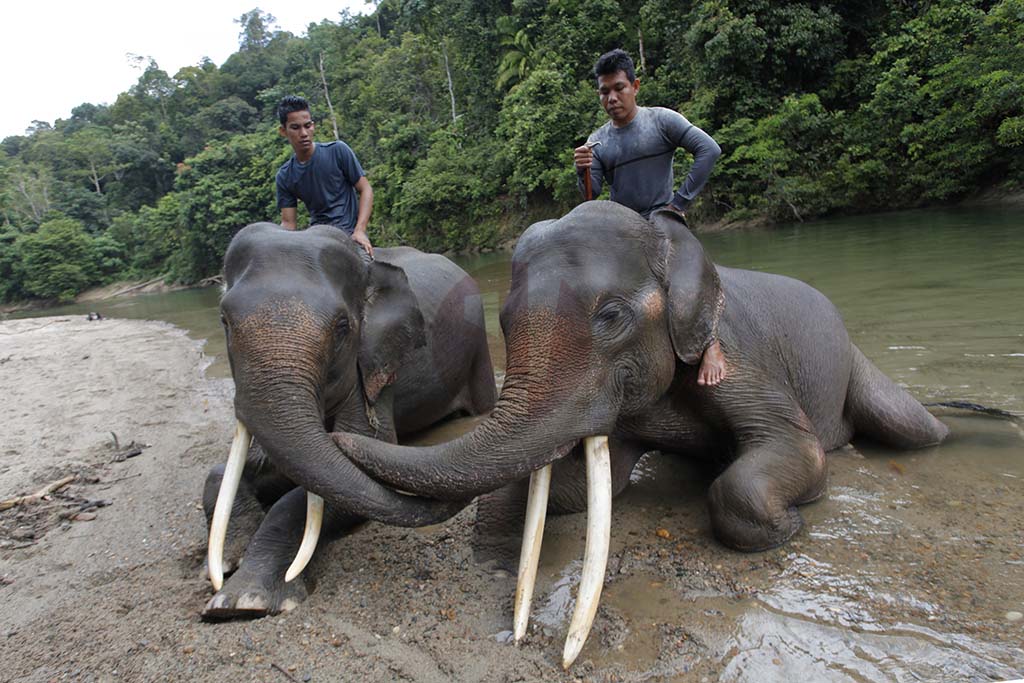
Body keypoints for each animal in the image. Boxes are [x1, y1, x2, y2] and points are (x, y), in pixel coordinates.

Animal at [199, 224, 495, 618]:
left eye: (342, 327)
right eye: (224, 321)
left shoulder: (375, 364)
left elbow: (347, 473)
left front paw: (243, 600)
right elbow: (235, 469)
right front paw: (225, 562)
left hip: (478, 349)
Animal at [307, 200, 946, 663]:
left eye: (610, 317)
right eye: (505, 321)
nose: (337, 438)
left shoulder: (736, 354)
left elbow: (797, 449)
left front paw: (785, 527)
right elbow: (598, 485)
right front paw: (495, 556)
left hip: (858, 370)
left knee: (914, 428)